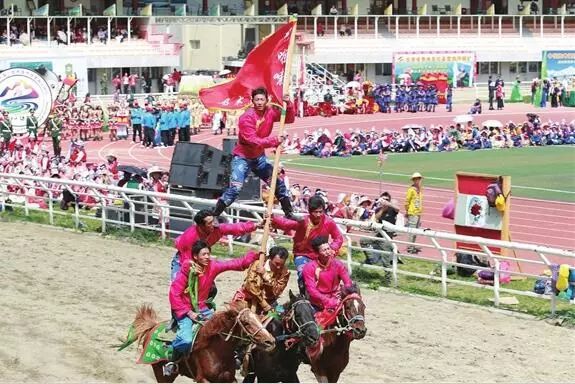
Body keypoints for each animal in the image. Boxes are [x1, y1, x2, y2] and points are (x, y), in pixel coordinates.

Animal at [132, 304, 276, 384]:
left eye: (259, 319)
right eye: (246, 323)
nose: (270, 341)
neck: (216, 351)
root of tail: (152, 327)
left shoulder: (228, 379)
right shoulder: (202, 378)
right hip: (162, 374)